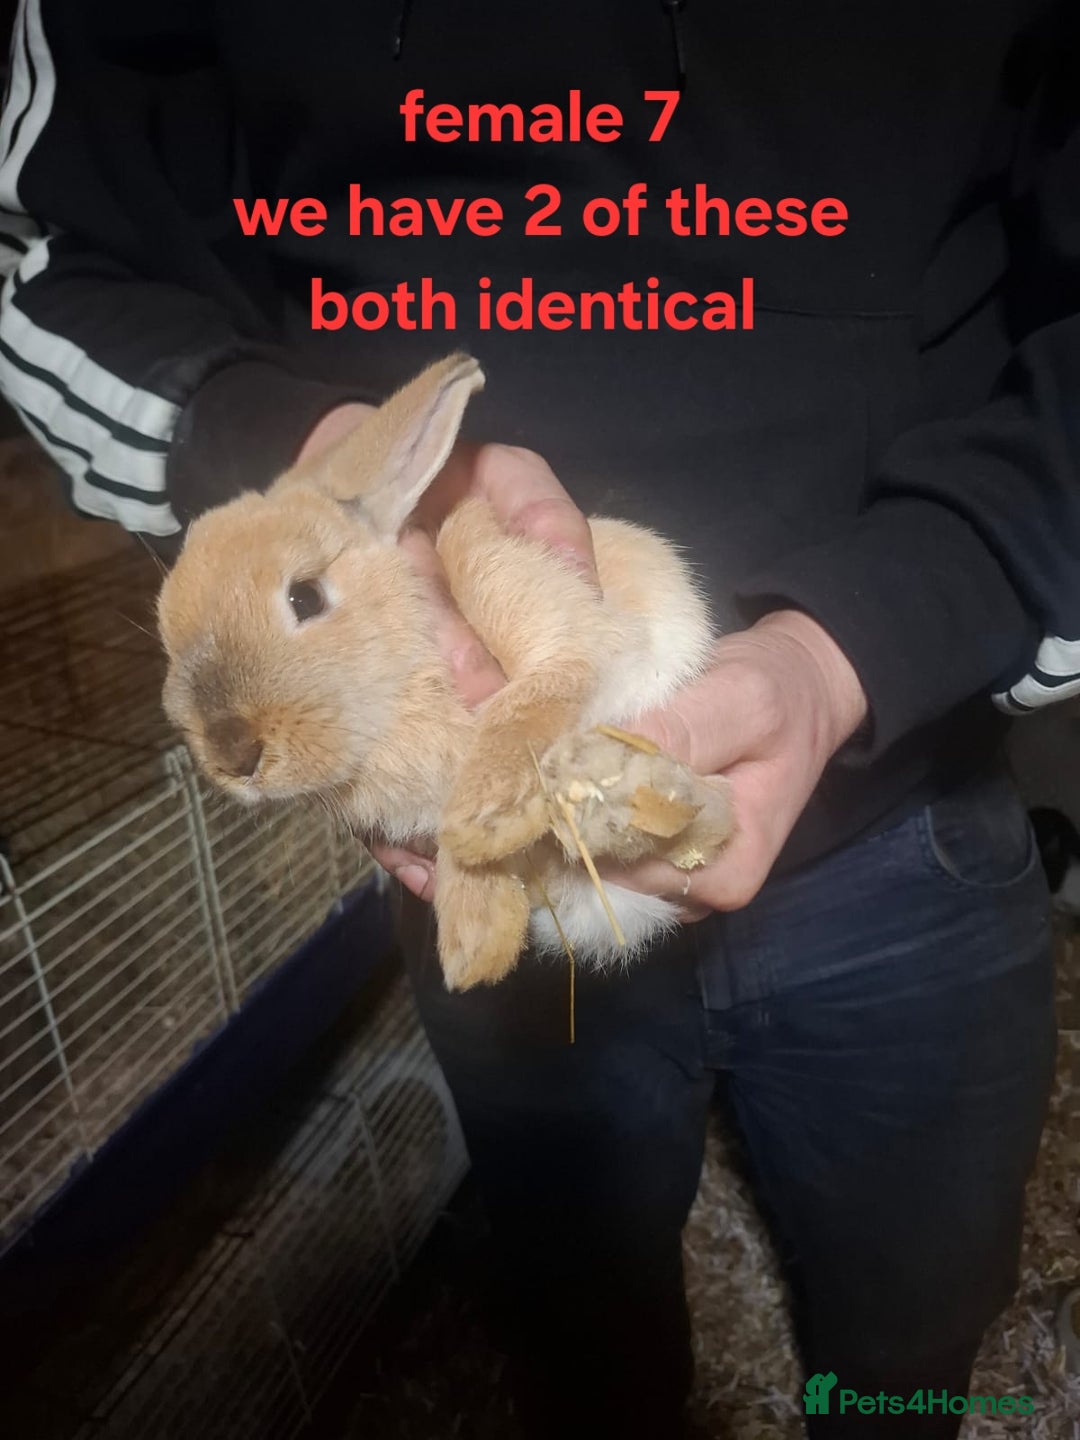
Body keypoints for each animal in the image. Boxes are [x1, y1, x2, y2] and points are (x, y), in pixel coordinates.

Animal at [157, 353, 734, 991]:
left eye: (305, 597)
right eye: (164, 632)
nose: (233, 757)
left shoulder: (565, 638)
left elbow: (519, 713)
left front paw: (478, 830)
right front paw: (477, 941)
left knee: (716, 815)